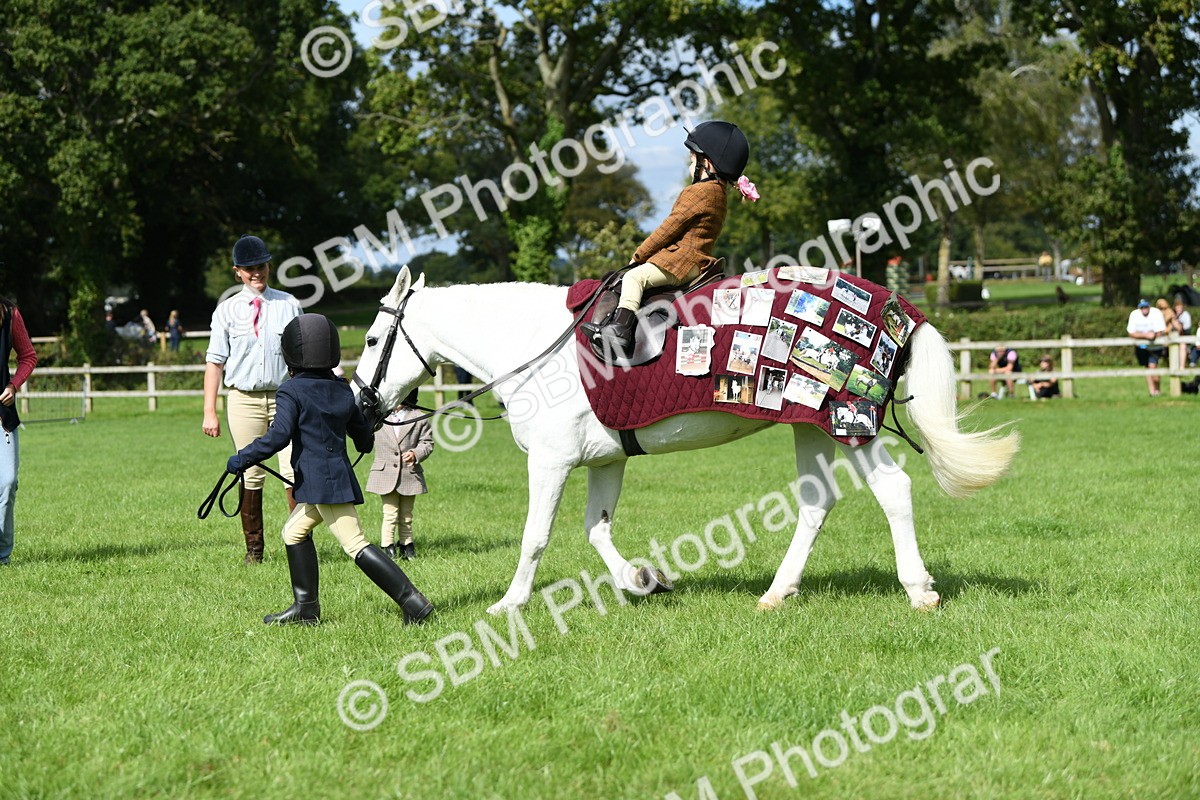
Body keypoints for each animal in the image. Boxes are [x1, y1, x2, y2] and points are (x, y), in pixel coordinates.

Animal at [353, 267, 1019, 616]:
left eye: (370, 339)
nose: (361, 403)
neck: (535, 343)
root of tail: (896, 303)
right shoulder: (605, 461)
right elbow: (596, 529)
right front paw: (642, 580)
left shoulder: (551, 461)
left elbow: (535, 537)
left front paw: (510, 604)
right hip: (810, 425)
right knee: (816, 503)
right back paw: (777, 593)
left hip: (848, 425)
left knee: (894, 490)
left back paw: (918, 590)